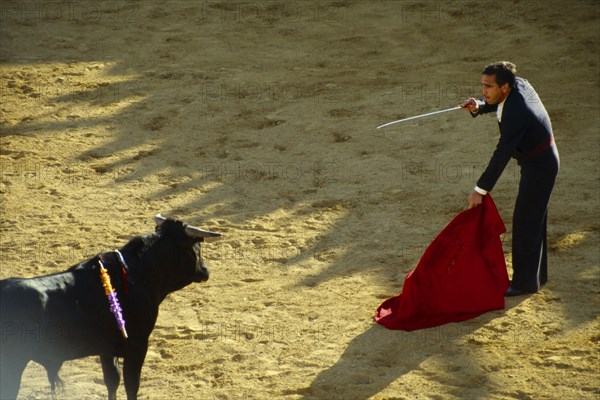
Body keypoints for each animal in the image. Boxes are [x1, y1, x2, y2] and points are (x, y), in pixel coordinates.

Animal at [0, 216, 223, 400]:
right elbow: (131, 386)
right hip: (12, 365)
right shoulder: (137, 346)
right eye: (196, 248)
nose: (206, 271)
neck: (137, 274)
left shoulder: (107, 350)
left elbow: (112, 381)